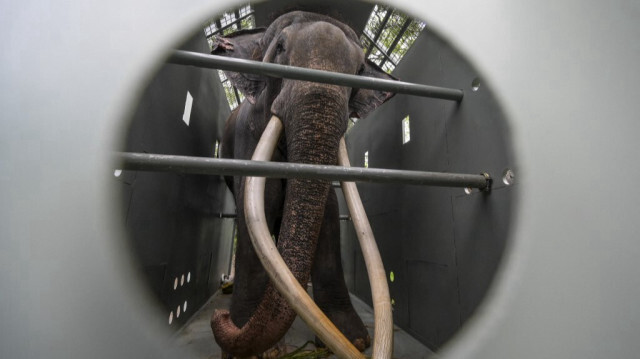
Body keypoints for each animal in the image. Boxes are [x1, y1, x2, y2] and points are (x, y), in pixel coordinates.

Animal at [210, 10, 396, 358]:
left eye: (360, 71)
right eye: (280, 49)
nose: (219, 316)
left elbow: (329, 215)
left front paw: (353, 339)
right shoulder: (247, 138)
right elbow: (256, 208)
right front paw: (251, 349)